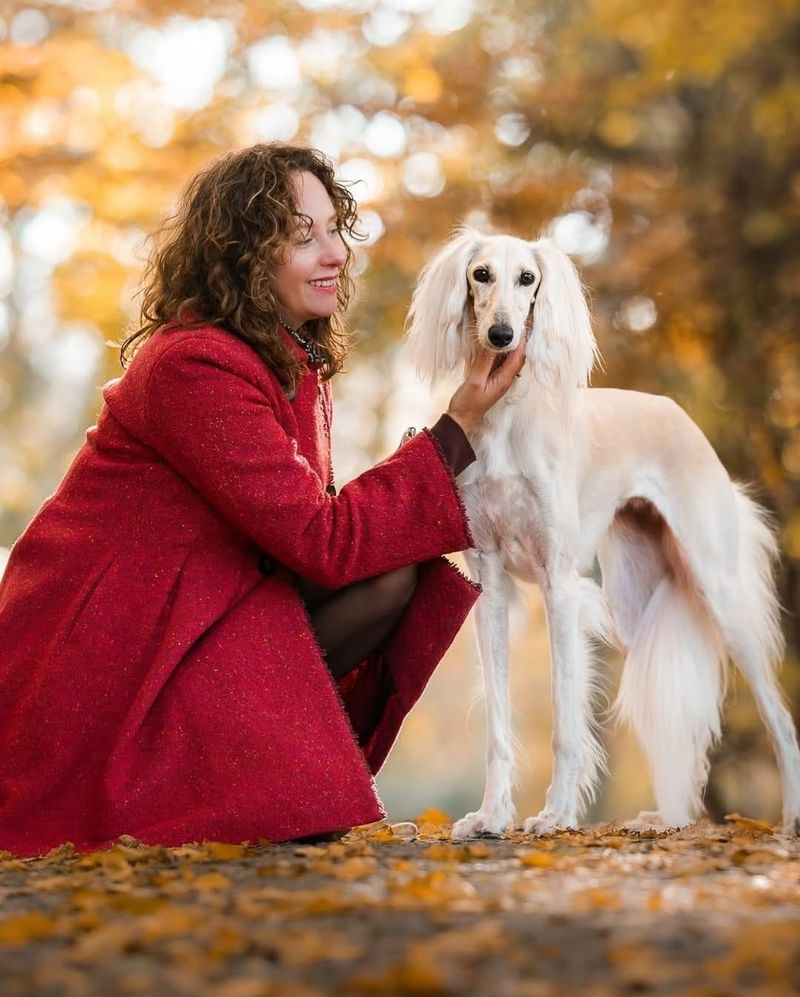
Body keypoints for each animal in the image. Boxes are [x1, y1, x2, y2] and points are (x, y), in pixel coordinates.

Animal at [406, 226, 800, 832]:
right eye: (480, 275)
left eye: (528, 278)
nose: (501, 335)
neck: (505, 417)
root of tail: (678, 414)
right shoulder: (490, 585)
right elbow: (498, 726)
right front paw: (492, 815)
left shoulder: (559, 584)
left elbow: (567, 722)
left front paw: (555, 814)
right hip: (637, 605)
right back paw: (668, 817)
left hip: (720, 591)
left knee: (779, 717)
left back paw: (788, 815)